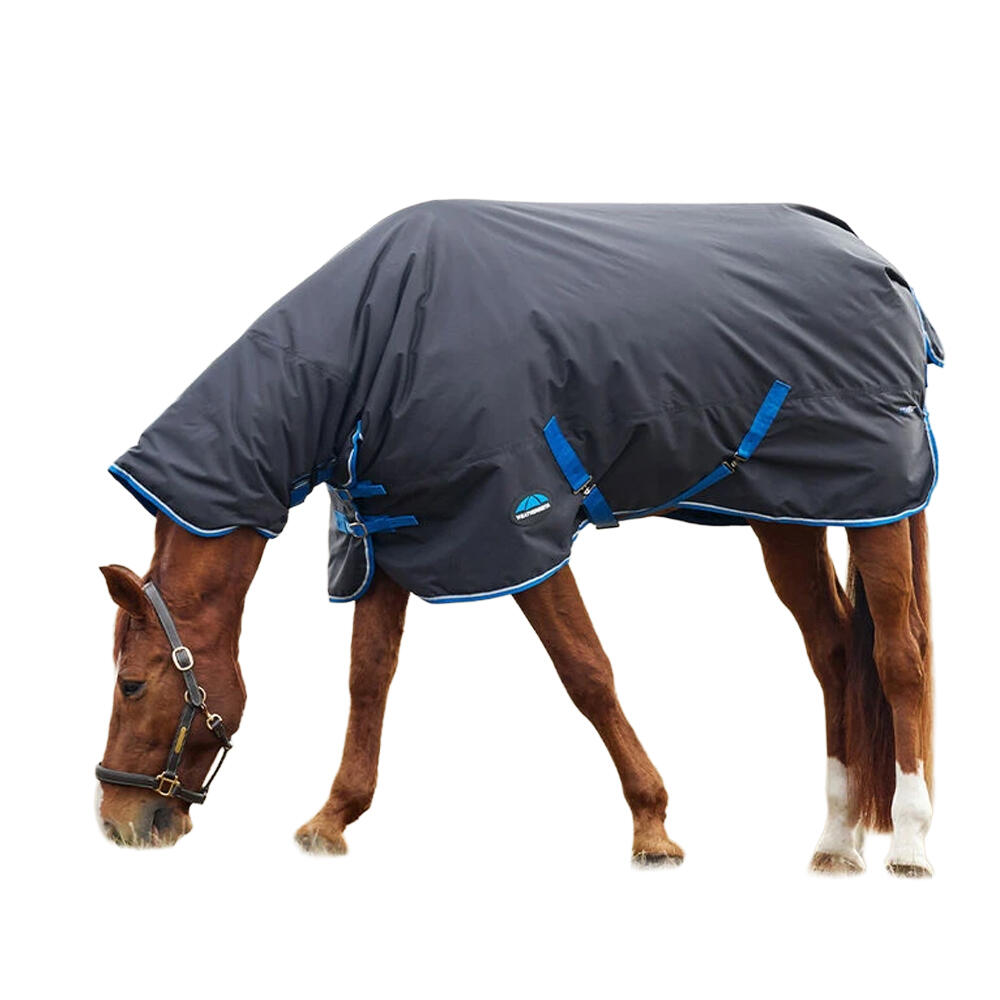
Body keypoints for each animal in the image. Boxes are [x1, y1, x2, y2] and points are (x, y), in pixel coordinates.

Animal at [94, 201, 937, 875]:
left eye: (131, 684)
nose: (117, 823)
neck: (381, 336)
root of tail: (881, 265)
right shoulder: (392, 532)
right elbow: (369, 677)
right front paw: (332, 819)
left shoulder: (516, 531)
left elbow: (586, 672)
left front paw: (652, 826)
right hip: (792, 514)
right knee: (835, 654)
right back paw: (836, 842)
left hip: (880, 504)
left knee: (900, 658)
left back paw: (910, 843)